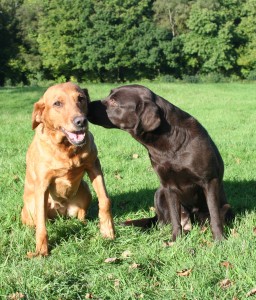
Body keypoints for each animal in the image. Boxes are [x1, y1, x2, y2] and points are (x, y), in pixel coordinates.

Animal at [22, 82, 114, 255]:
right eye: (57, 103)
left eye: (81, 98)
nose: (81, 121)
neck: (66, 148)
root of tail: (60, 212)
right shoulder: (42, 184)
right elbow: (41, 225)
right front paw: (41, 250)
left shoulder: (94, 166)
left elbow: (105, 200)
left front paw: (107, 229)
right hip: (30, 208)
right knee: (38, 221)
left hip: (85, 191)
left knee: (81, 215)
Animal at [87, 84, 232, 241]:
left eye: (114, 101)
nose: (87, 104)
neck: (170, 142)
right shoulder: (168, 186)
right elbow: (175, 217)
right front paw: (175, 239)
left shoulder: (209, 181)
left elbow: (214, 215)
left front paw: (219, 239)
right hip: (159, 193)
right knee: (164, 222)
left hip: (226, 206)